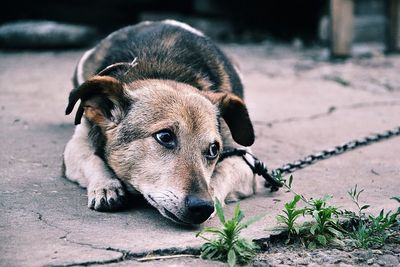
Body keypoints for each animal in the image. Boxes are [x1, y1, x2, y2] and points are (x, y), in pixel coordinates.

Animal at [62, 19, 260, 225]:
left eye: (214, 150)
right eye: (165, 137)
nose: (202, 207)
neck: (164, 73)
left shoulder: (244, 162)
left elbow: (218, 177)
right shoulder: (78, 142)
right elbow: (91, 159)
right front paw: (106, 185)